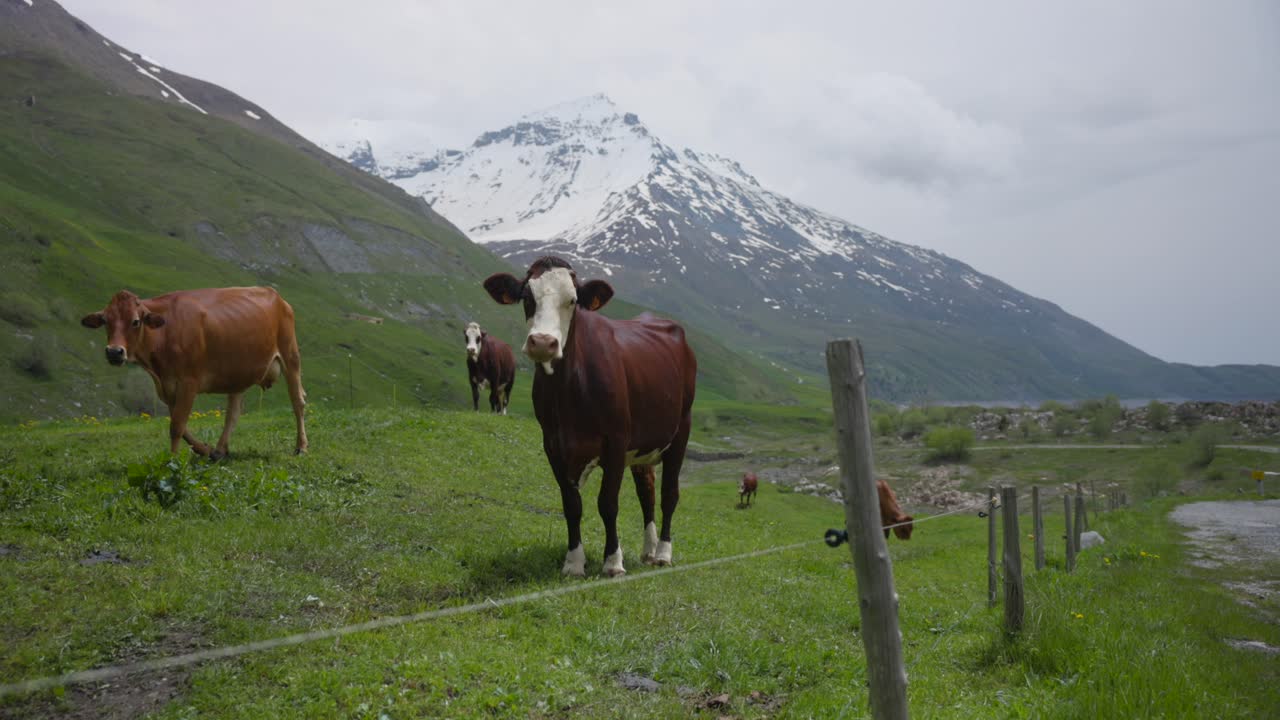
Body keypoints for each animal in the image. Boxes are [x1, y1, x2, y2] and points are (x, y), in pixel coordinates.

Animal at [81, 287, 307, 459]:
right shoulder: (168, 387)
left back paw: (301, 446)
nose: (114, 352)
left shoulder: (188, 382)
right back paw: (219, 450)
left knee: (298, 401)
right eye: (105, 320)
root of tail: (276, 295)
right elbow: (181, 426)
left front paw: (172, 461)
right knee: (233, 413)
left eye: (136, 321)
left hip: (290, 356)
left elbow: (177, 426)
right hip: (238, 373)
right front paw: (204, 450)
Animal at [484, 256, 697, 578]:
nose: (542, 342)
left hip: (681, 429)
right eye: (527, 297)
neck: (568, 392)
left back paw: (662, 553)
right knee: (646, 491)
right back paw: (648, 550)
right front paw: (574, 562)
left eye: (573, 300)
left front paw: (613, 561)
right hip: (643, 444)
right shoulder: (553, 444)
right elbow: (571, 504)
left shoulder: (617, 441)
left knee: (669, 493)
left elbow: (607, 503)